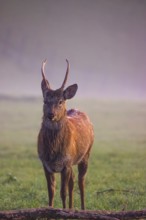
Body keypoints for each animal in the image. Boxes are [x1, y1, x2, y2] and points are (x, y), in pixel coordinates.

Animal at [37, 58, 93, 210]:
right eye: (45, 101)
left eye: (60, 101)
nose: (51, 114)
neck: (53, 153)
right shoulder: (45, 163)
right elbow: (51, 191)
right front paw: (51, 209)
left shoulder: (66, 163)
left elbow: (63, 192)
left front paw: (62, 211)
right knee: (72, 181)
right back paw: (71, 208)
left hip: (86, 154)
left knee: (81, 182)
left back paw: (83, 209)